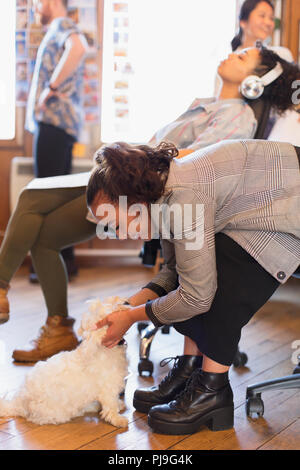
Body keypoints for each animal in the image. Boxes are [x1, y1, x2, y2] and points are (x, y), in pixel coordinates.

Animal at [0, 300, 127, 428]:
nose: (124, 303)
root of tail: (18, 403)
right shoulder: (108, 389)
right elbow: (110, 407)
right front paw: (118, 420)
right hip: (58, 412)